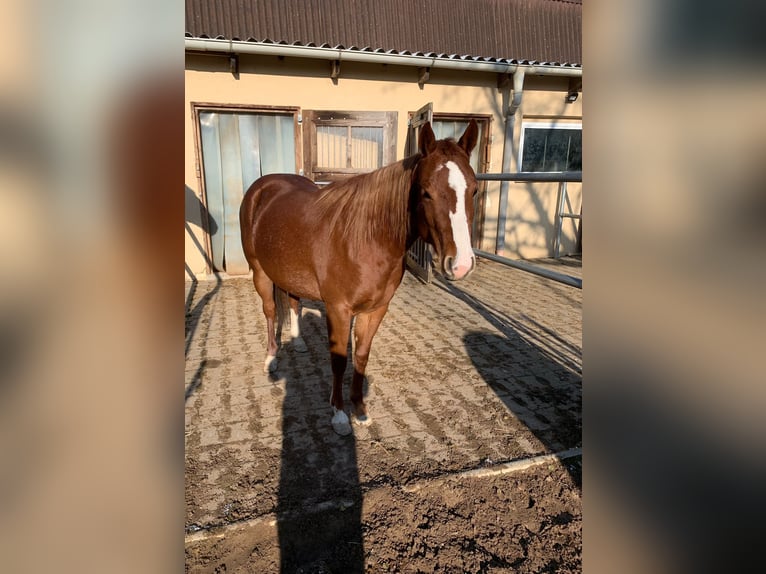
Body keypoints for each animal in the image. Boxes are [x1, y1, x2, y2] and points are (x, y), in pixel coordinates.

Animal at [242, 122, 480, 436]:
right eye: (426, 192)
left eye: (474, 190)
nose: (461, 264)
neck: (366, 238)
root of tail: (262, 187)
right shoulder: (338, 310)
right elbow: (339, 361)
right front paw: (339, 415)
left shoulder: (376, 309)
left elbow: (362, 357)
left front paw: (360, 409)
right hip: (260, 272)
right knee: (270, 311)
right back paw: (271, 359)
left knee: (292, 301)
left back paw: (298, 341)